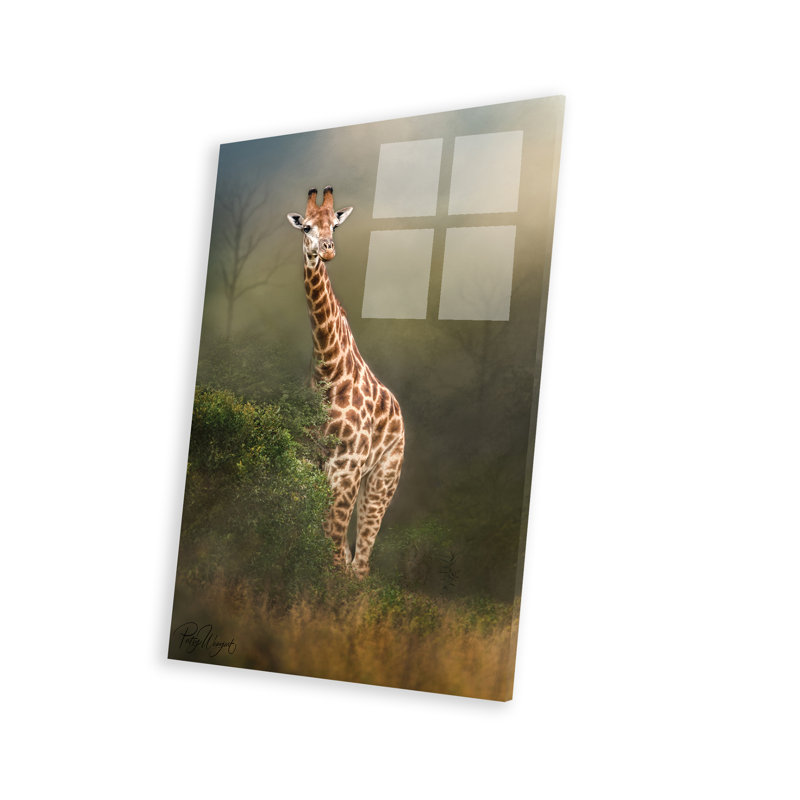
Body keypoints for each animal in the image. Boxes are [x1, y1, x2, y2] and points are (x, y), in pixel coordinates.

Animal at [287, 186, 405, 578]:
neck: (328, 369)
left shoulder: (347, 466)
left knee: (361, 562)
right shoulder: (310, 460)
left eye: (335, 226)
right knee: (352, 556)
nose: (327, 250)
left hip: (383, 478)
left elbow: (333, 546)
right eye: (306, 227)